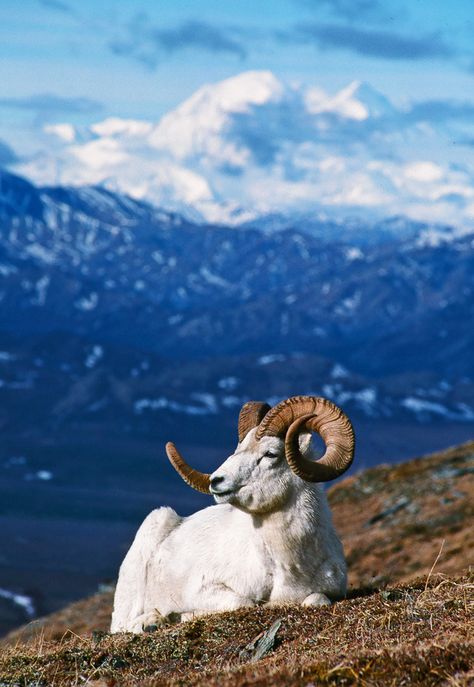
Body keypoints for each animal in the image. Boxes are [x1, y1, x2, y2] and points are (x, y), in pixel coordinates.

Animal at [112, 396, 356, 632]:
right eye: (237, 450)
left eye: (270, 454)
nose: (216, 481)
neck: (287, 566)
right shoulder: (204, 589)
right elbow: (244, 603)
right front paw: (184, 616)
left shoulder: (329, 591)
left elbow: (316, 600)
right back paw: (151, 622)